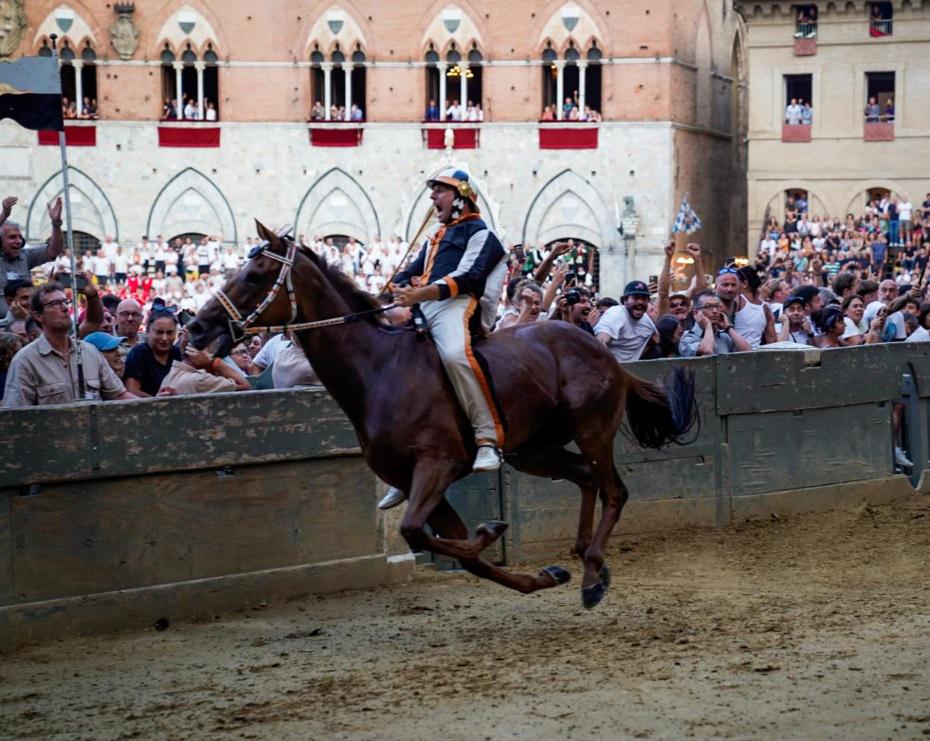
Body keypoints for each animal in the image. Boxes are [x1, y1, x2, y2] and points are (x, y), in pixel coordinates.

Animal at [185, 221, 692, 608]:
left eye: (256, 274)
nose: (198, 326)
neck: (379, 369)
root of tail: (601, 353)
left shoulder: (439, 465)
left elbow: (417, 532)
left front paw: (492, 531)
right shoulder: (415, 480)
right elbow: (452, 549)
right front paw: (538, 573)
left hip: (592, 429)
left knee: (614, 490)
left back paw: (591, 572)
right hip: (533, 450)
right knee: (586, 478)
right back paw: (585, 556)